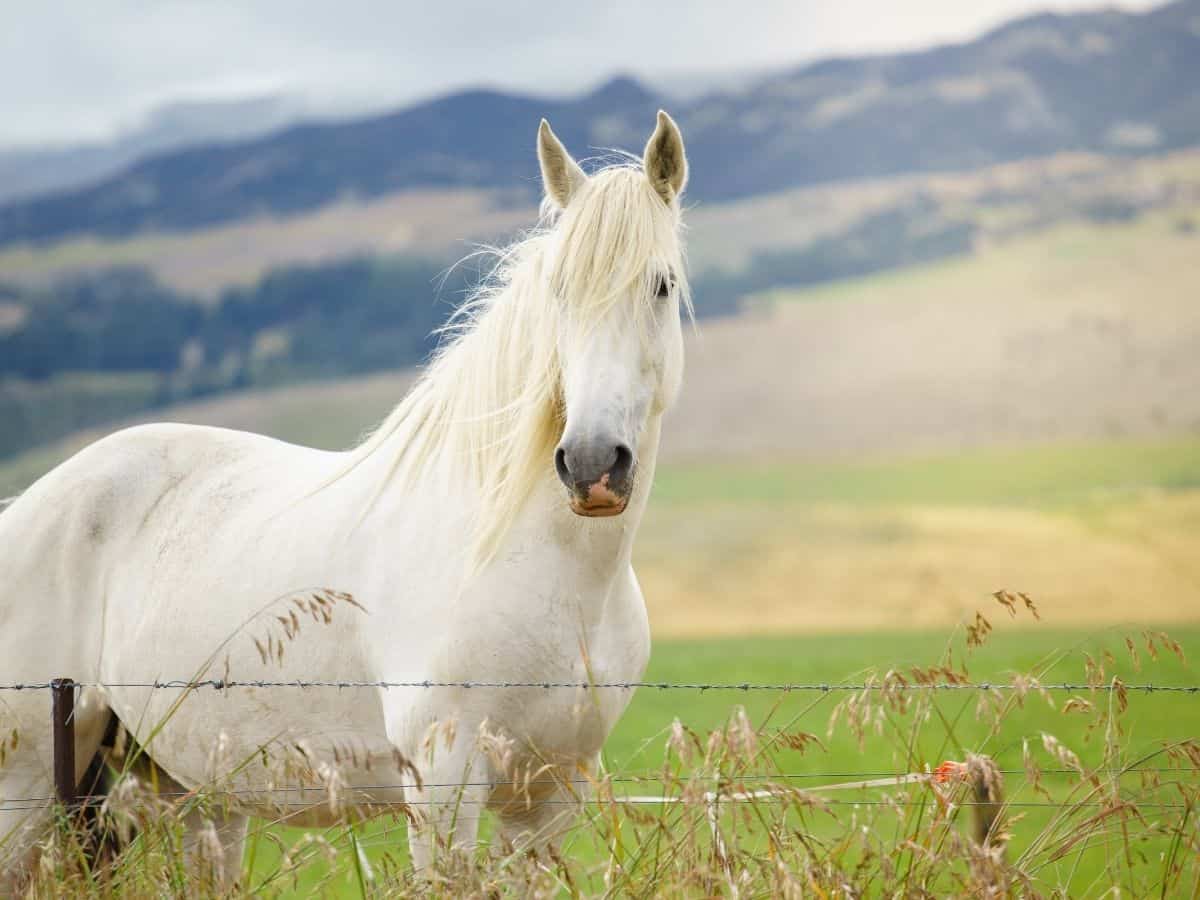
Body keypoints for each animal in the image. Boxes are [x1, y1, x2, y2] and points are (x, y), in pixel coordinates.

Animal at [0, 111, 691, 888]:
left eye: (661, 285)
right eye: (560, 292)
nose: (593, 465)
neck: (542, 570)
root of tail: (27, 507)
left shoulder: (550, 794)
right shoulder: (443, 787)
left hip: (193, 794)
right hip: (26, 787)